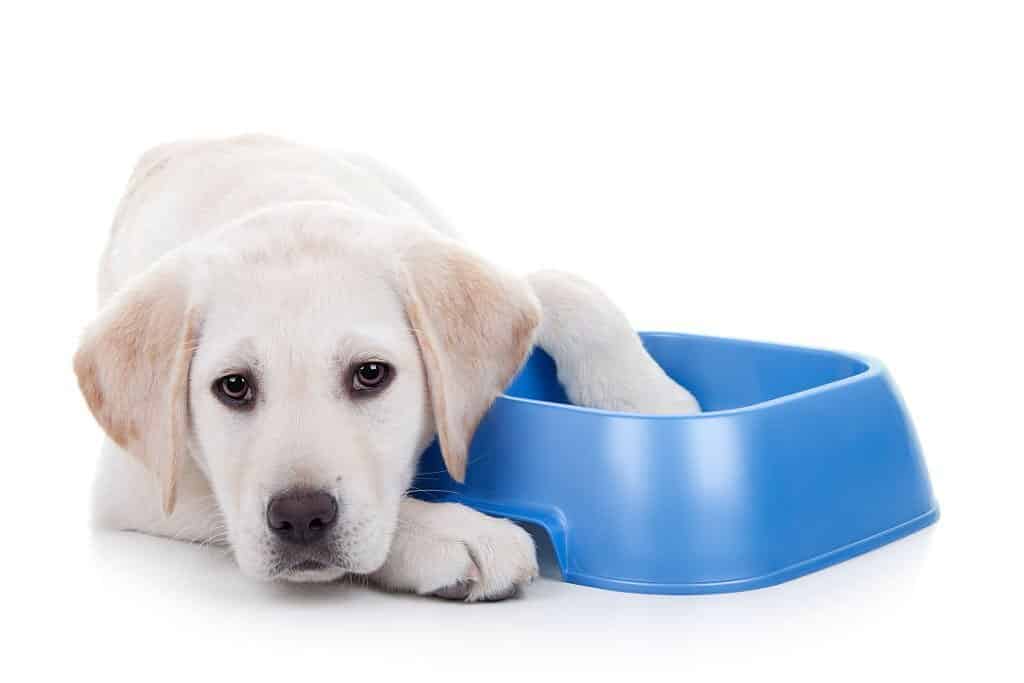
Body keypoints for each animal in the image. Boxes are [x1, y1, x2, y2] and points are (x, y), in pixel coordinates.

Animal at [75, 136, 700, 602]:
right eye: (233, 386)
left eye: (370, 374)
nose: (301, 519)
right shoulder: (140, 482)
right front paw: (449, 530)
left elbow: (563, 286)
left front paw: (652, 402)